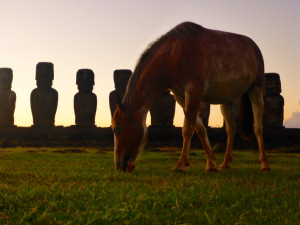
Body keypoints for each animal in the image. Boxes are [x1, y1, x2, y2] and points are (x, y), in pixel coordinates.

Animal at [111, 21, 270, 172]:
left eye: (116, 129)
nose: (119, 165)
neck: (175, 54)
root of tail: (254, 46)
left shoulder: (193, 91)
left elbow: (187, 129)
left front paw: (181, 164)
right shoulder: (181, 97)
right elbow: (200, 129)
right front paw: (211, 164)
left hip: (256, 90)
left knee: (258, 127)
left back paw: (264, 164)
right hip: (226, 100)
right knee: (231, 129)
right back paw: (225, 163)